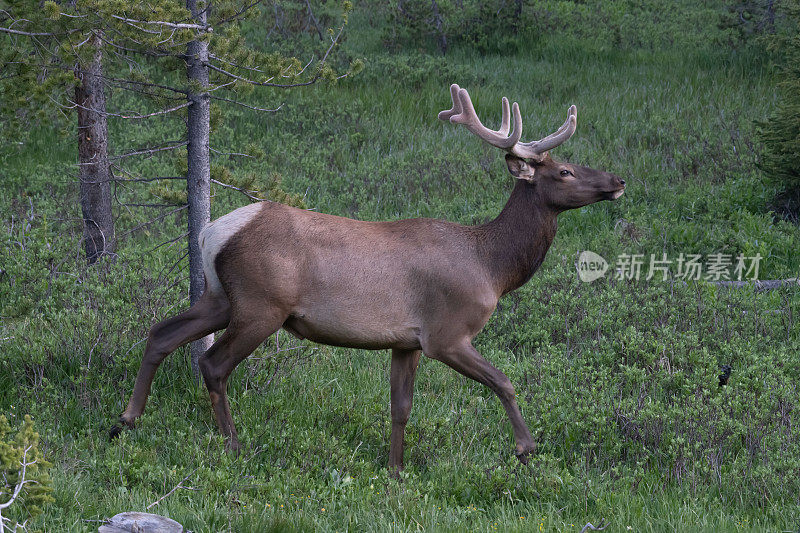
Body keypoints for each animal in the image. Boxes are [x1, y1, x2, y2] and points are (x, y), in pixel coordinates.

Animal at [111, 84, 624, 470]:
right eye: (565, 170)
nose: (618, 181)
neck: (492, 267)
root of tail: (211, 231)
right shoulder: (446, 333)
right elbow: (504, 381)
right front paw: (525, 448)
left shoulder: (406, 341)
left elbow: (401, 408)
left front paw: (395, 469)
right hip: (261, 304)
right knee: (213, 364)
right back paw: (233, 444)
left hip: (220, 297)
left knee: (161, 332)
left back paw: (128, 419)